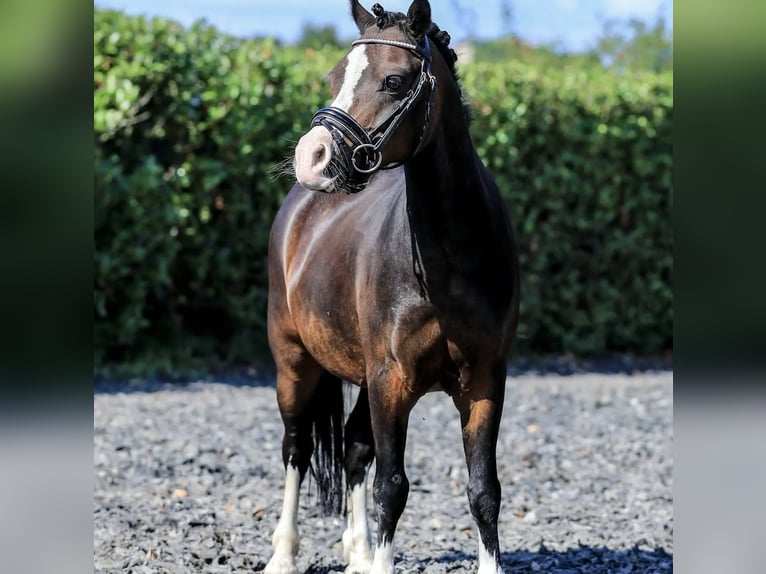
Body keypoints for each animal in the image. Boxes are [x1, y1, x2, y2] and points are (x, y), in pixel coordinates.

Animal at [264, 1, 519, 573]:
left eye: (395, 80)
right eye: (335, 76)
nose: (311, 157)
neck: (450, 258)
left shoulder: (485, 380)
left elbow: (483, 490)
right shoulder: (392, 382)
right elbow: (392, 487)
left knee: (354, 447)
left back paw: (357, 552)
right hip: (294, 362)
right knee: (296, 449)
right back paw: (283, 555)